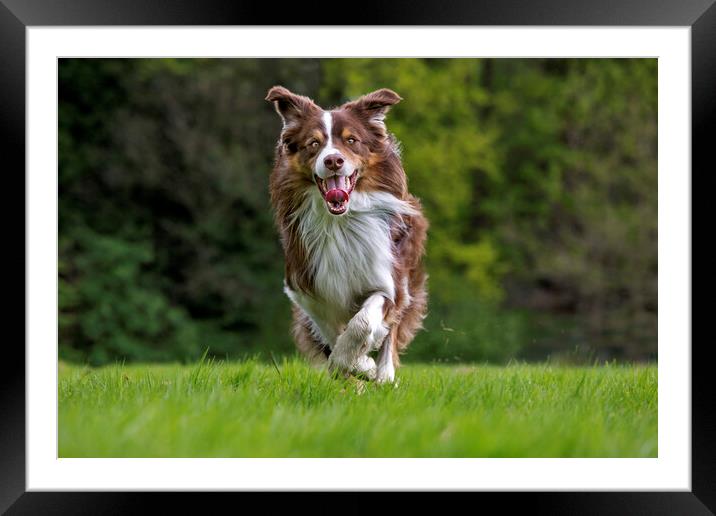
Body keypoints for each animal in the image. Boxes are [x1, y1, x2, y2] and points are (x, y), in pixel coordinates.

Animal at [266, 85, 428, 382]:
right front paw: (357, 364)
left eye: (351, 140)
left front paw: (360, 363)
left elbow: (364, 322)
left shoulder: (388, 280)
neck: (339, 223)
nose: (333, 160)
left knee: (391, 334)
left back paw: (384, 375)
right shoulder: (305, 286)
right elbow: (330, 331)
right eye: (313, 143)